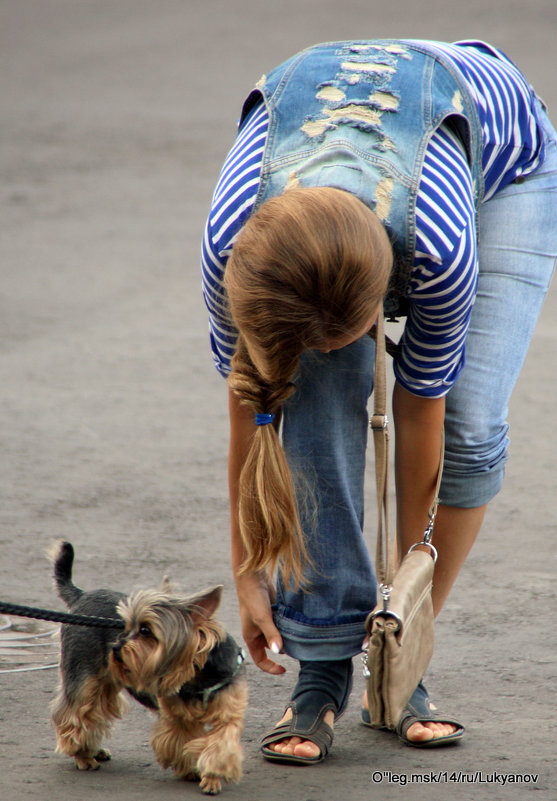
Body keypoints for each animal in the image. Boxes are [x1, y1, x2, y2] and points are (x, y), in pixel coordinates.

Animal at [49, 536, 245, 792]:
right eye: (126, 626)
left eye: (145, 630)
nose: (116, 647)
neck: (198, 676)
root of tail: (81, 596)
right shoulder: (177, 718)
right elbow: (181, 742)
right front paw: (191, 770)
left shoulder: (227, 714)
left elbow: (221, 744)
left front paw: (212, 777)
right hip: (84, 677)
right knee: (73, 714)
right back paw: (82, 756)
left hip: (106, 681)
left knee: (95, 712)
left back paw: (93, 749)